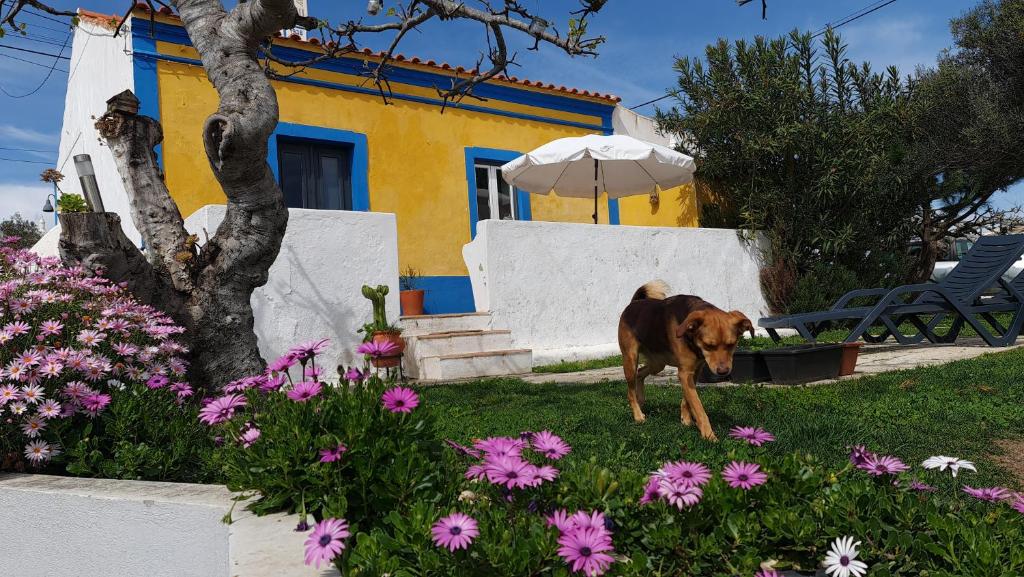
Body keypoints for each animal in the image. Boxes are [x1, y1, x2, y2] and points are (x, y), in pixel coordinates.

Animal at [614, 282, 753, 440]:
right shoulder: (685, 373)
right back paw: (638, 415)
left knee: (640, 372)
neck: (692, 337)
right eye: (709, 345)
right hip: (630, 359)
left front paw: (686, 420)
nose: (723, 371)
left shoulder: (694, 371)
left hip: (658, 363)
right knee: (630, 391)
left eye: (732, 344)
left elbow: (687, 400)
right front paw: (709, 435)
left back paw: (641, 400)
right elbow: (698, 407)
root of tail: (634, 303)